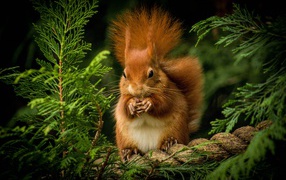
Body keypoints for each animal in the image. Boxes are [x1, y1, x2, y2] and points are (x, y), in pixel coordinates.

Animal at [108, 6, 203, 161]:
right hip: (123, 136)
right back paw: (128, 151)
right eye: (124, 74)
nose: (137, 90)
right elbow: (123, 108)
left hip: (176, 129)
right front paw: (132, 104)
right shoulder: (123, 97)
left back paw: (169, 142)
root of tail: (149, 148)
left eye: (151, 73)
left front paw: (149, 103)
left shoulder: (169, 92)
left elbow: (163, 104)